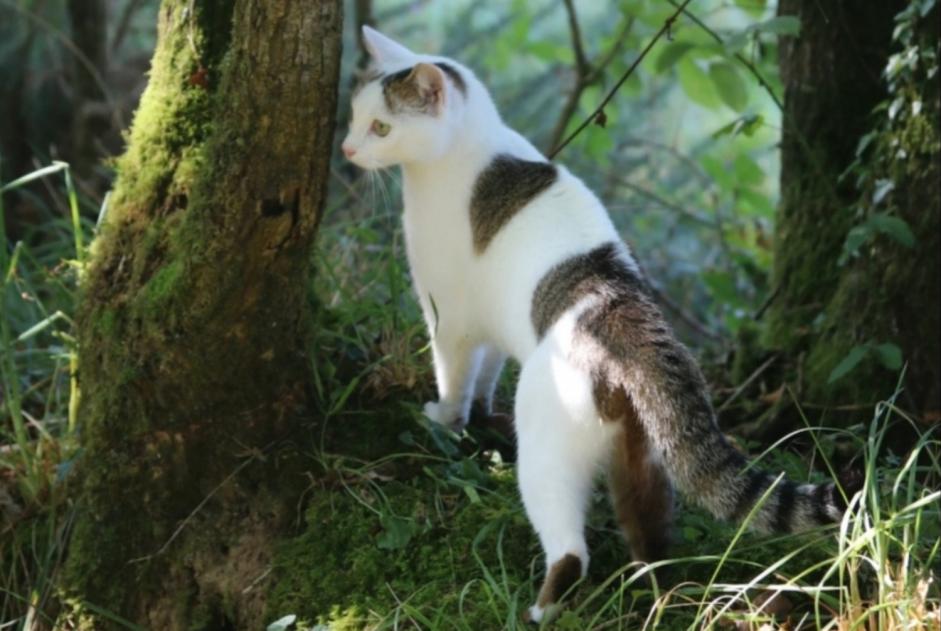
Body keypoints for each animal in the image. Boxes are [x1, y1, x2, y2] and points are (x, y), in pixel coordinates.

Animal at [342, 25, 856, 628]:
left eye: (381, 126)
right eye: (354, 114)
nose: (347, 149)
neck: (473, 147)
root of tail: (624, 316)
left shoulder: (446, 313)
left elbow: (454, 376)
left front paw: (445, 421)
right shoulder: (489, 321)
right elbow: (486, 371)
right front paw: (481, 414)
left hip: (549, 453)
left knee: (570, 548)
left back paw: (543, 607)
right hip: (644, 459)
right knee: (653, 537)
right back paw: (652, 589)